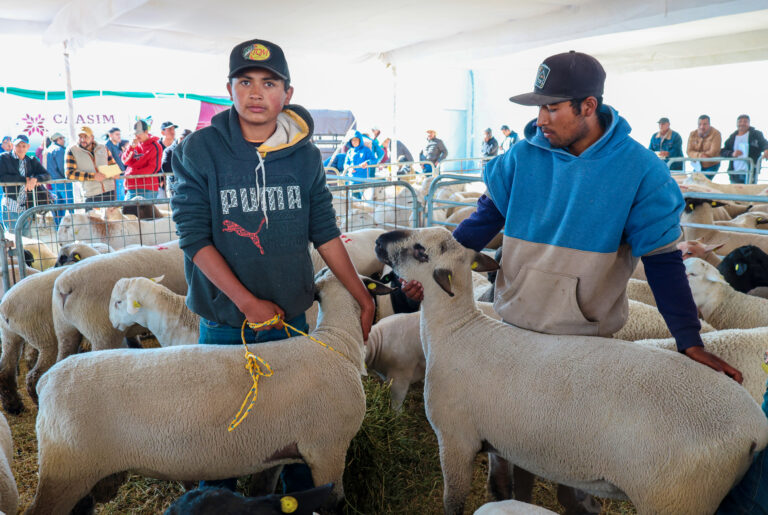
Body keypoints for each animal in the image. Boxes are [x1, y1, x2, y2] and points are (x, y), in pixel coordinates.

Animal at [27, 268, 380, 512]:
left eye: (118, 302)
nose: (115, 323)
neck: (337, 342)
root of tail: (48, 381)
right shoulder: (327, 448)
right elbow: (333, 503)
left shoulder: (282, 449)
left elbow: (264, 489)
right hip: (66, 472)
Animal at [376, 229, 768, 515]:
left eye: (420, 251)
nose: (380, 240)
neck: (457, 331)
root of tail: (755, 426)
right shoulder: (498, 442)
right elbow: (500, 489)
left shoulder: (455, 438)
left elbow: (453, 502)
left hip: (677, 498)